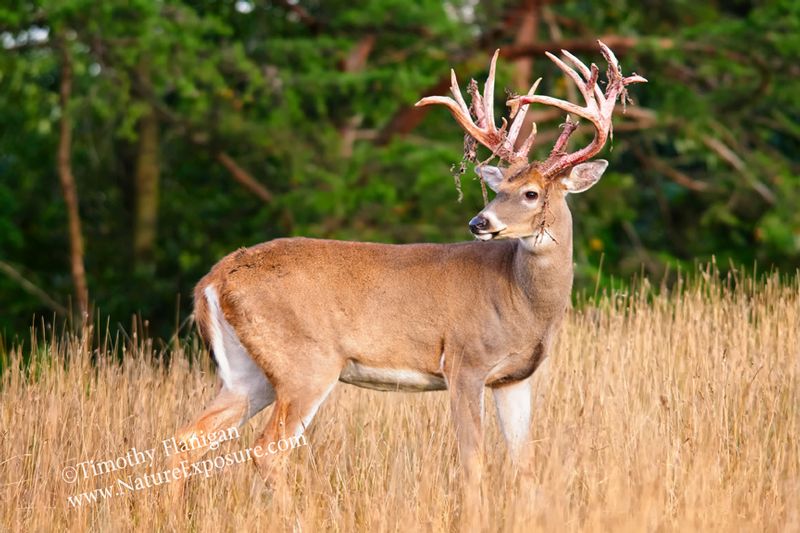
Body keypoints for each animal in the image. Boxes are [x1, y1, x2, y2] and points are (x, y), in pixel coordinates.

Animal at [169, 42, 645, 521]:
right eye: (498, 189)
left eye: (530, 193)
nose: (479, 222)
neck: (521, 301)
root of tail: (211, 280)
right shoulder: (464, 361)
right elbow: (473, 459)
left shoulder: (514, 377)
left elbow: (523, 462)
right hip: (305, 361)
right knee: (267, 449)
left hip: (248, 371)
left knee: (187, 438)